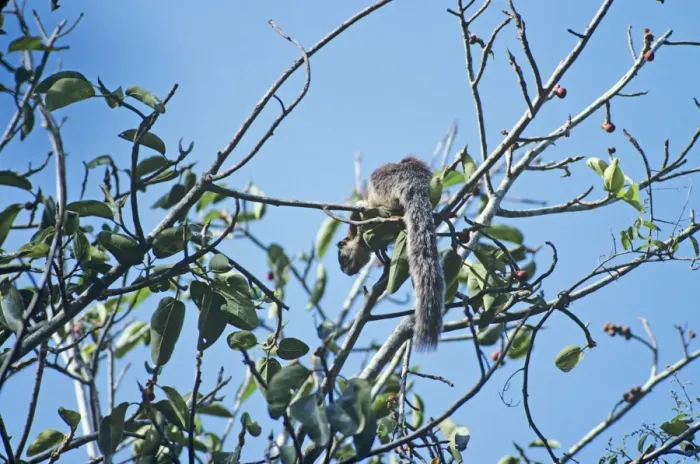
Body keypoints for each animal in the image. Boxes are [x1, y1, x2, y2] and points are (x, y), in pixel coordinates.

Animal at [336, 156, 445, 351]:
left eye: (343, 258)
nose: (347, 272)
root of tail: (412, 180)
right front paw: (384, 258)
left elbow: (358, 215)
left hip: (382, 187)